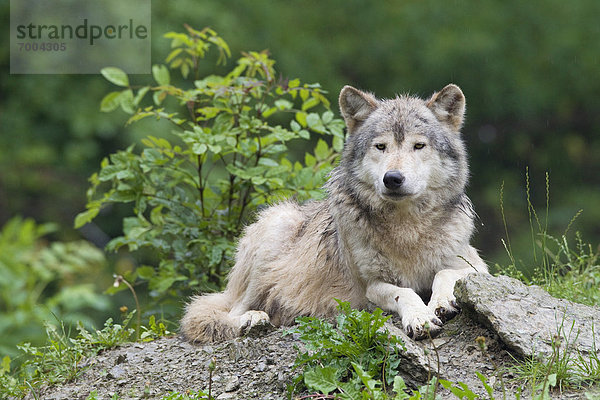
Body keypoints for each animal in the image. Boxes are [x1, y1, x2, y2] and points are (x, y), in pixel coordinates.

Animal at [182, 83, 488, 342]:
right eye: (381, 146)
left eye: (419, 145)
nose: (392, 178)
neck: (407, 229)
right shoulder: (370, 287)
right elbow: (405, 293)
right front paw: (419, 318)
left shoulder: (477, 266)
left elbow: (445, 273)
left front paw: (441, 302)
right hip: (276, 228)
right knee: (221, 313)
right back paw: (252, 320)